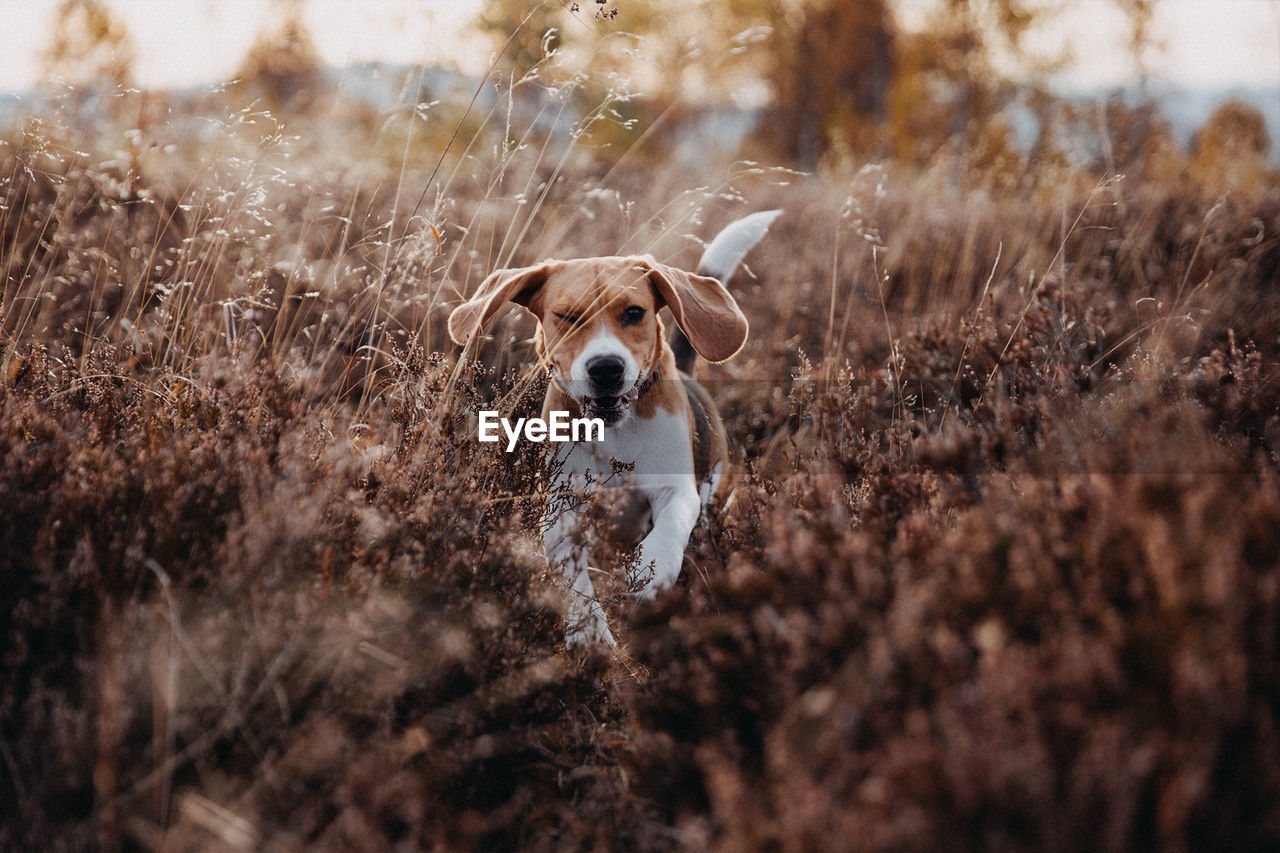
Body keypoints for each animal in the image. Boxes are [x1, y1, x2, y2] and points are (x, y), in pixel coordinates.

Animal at [455, 208, 783, 640]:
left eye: (634, 313)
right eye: (567, 317)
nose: (606, 368)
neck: (616, 431)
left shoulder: (676, 490)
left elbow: (669, 526)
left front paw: (650, 571)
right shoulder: (562, 507)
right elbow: (572, 574)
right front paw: (589, 633)